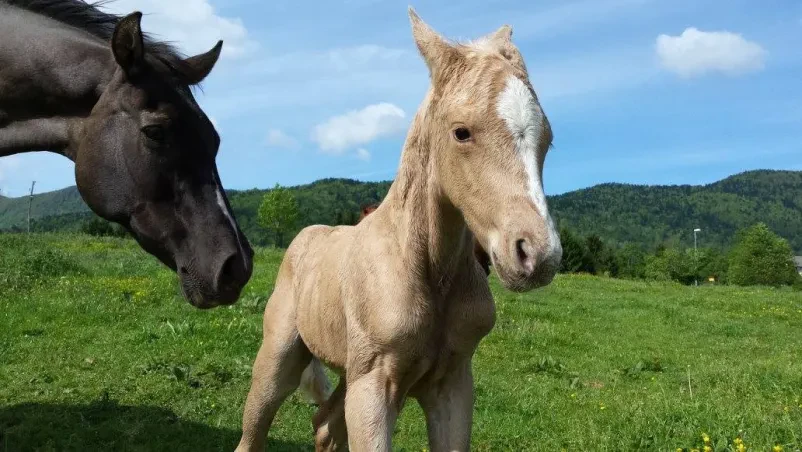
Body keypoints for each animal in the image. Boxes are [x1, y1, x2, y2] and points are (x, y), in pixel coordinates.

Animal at [236, 8, 561, 451]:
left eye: (547, 138)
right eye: (461, 132)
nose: (538, 255)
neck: (425, 268)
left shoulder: (452, 385)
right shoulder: (373, 386)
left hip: (350, 372)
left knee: (324, 424)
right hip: (281, 357)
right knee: (256, 427)